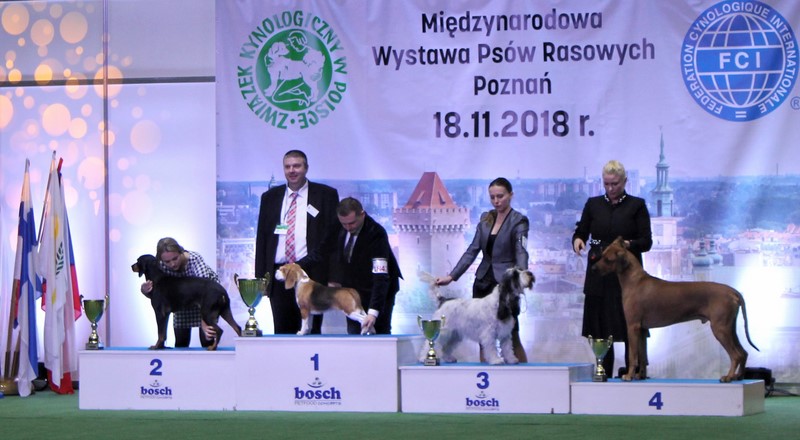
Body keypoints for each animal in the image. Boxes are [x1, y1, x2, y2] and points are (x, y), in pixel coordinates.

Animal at [591, 237, 759, 382]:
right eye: (602, 255)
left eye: (607, 259)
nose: (593, 268)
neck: (635, 281)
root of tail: (733, 291)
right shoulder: (642, 330)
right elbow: (643, 356)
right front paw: (641, 376)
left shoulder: (633, 327)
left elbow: (633, 356)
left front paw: (628, 375)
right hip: (729, 328)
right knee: (743, 353)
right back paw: (739, 377)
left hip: (720, 328)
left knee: (736, 355)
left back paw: (729, 377)